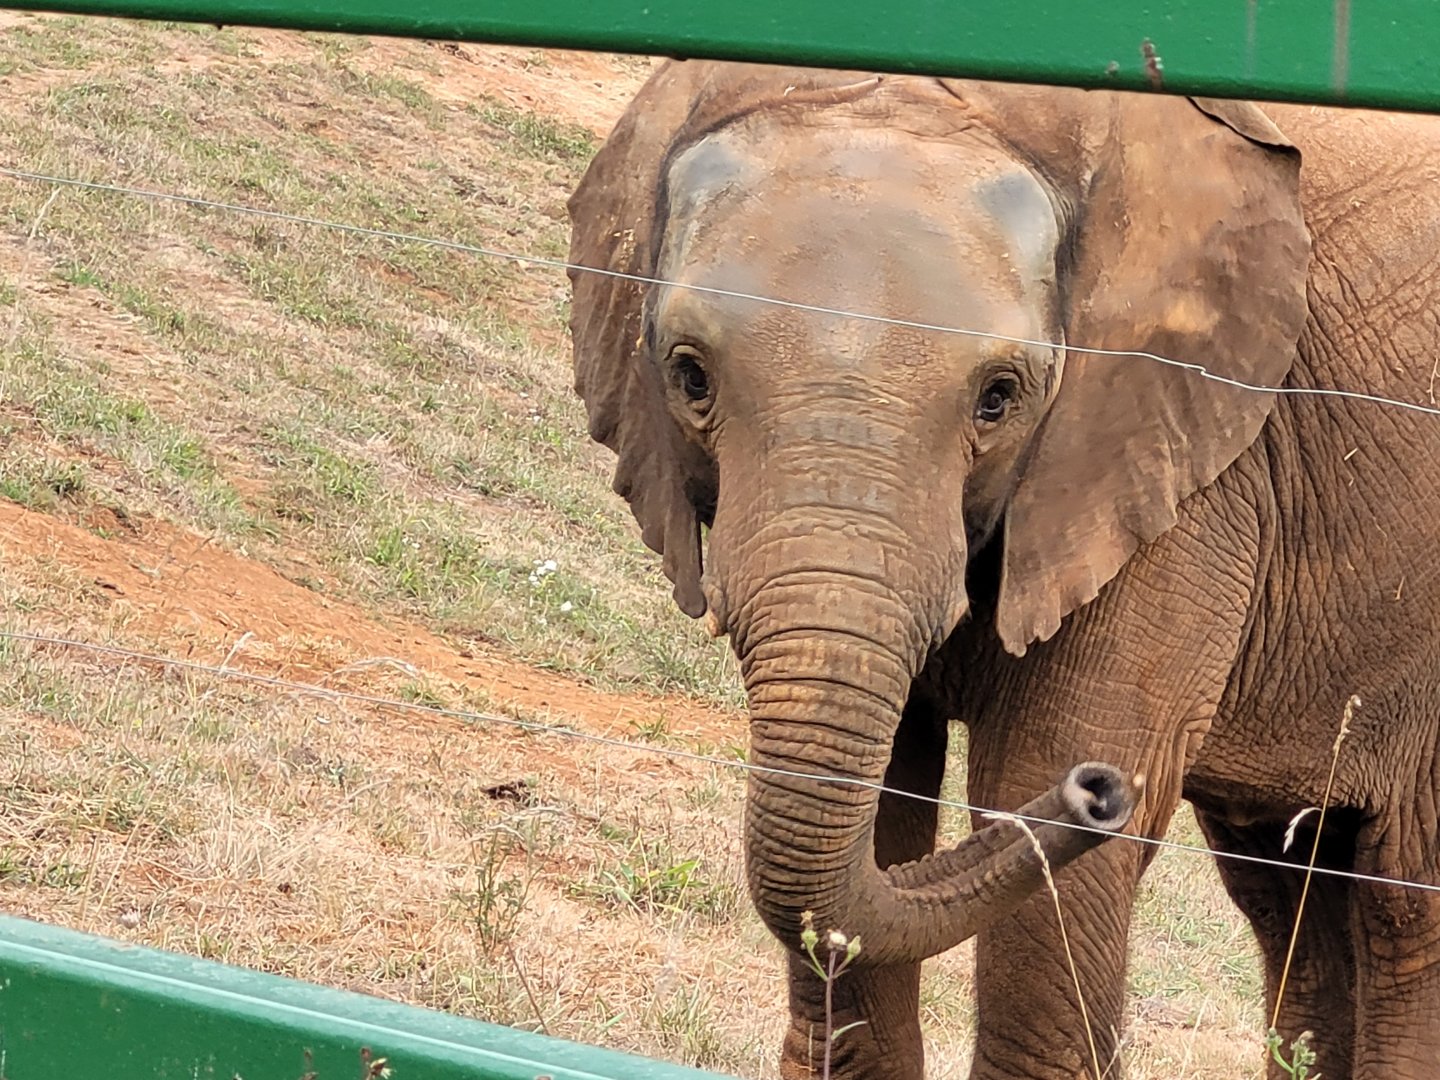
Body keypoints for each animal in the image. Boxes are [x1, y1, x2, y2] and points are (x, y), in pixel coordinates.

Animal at [565, 60, 1440, 1080]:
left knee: (1402, 909)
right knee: (1287, 891)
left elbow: (1029, 783)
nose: (1099, 792)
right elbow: (885, 805)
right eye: (690, 375)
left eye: (998, 397)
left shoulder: (1176, 469)